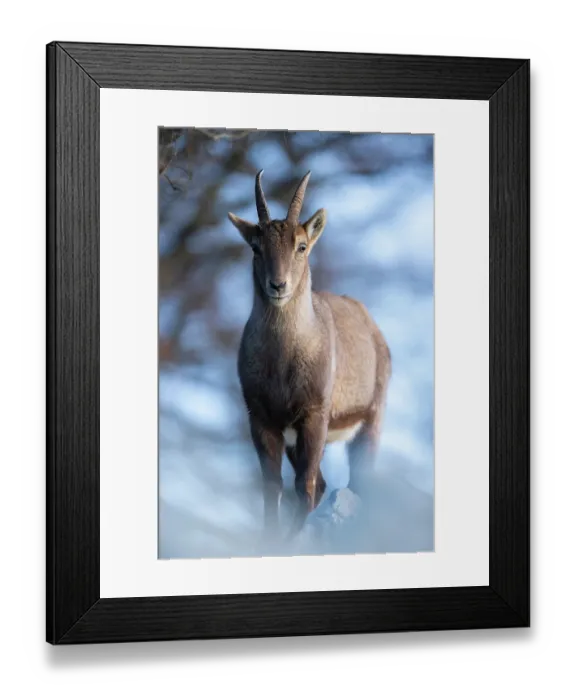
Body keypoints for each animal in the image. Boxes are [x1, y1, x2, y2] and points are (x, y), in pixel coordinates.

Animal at [228, 171, 392, 537]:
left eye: (301, 246)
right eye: (256, 247)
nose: (278, 286)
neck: (282, 361)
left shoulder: (315, 414)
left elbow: (304, 485)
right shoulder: (262, 418)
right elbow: (273, 487)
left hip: (371, 419)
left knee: (354, 483)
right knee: (324, 486)